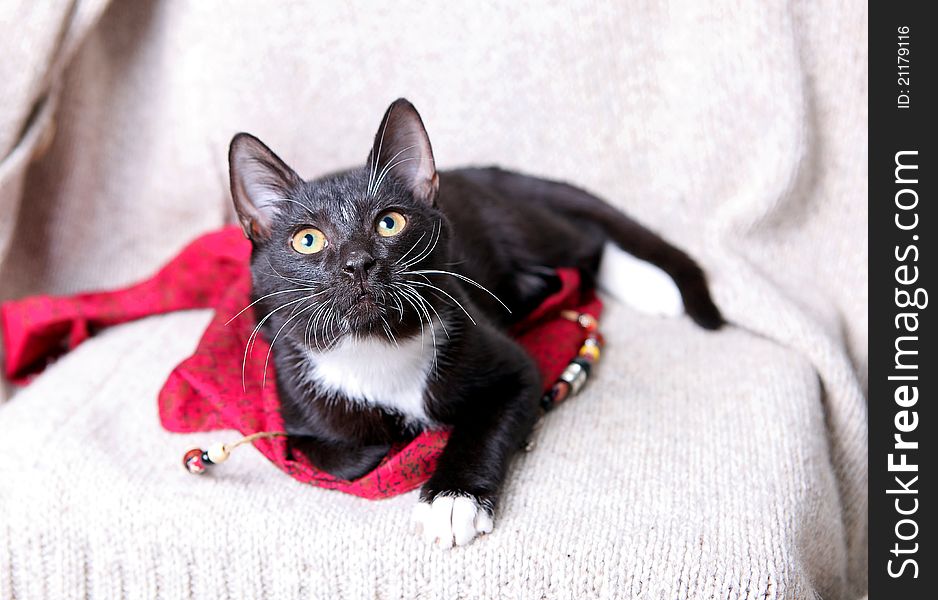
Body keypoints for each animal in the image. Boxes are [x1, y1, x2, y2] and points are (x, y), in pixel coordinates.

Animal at [229, 99, 724, 548]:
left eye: (390, 223)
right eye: (307, 240)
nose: (358, 263)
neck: (378, 347)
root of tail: (482, 173)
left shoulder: (510, 366)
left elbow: (484, 423)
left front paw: (452, 500)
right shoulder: (293, 404)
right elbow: (344, 456)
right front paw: (401, 446)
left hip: (516, 225)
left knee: (587, 244)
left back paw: (652, 287)